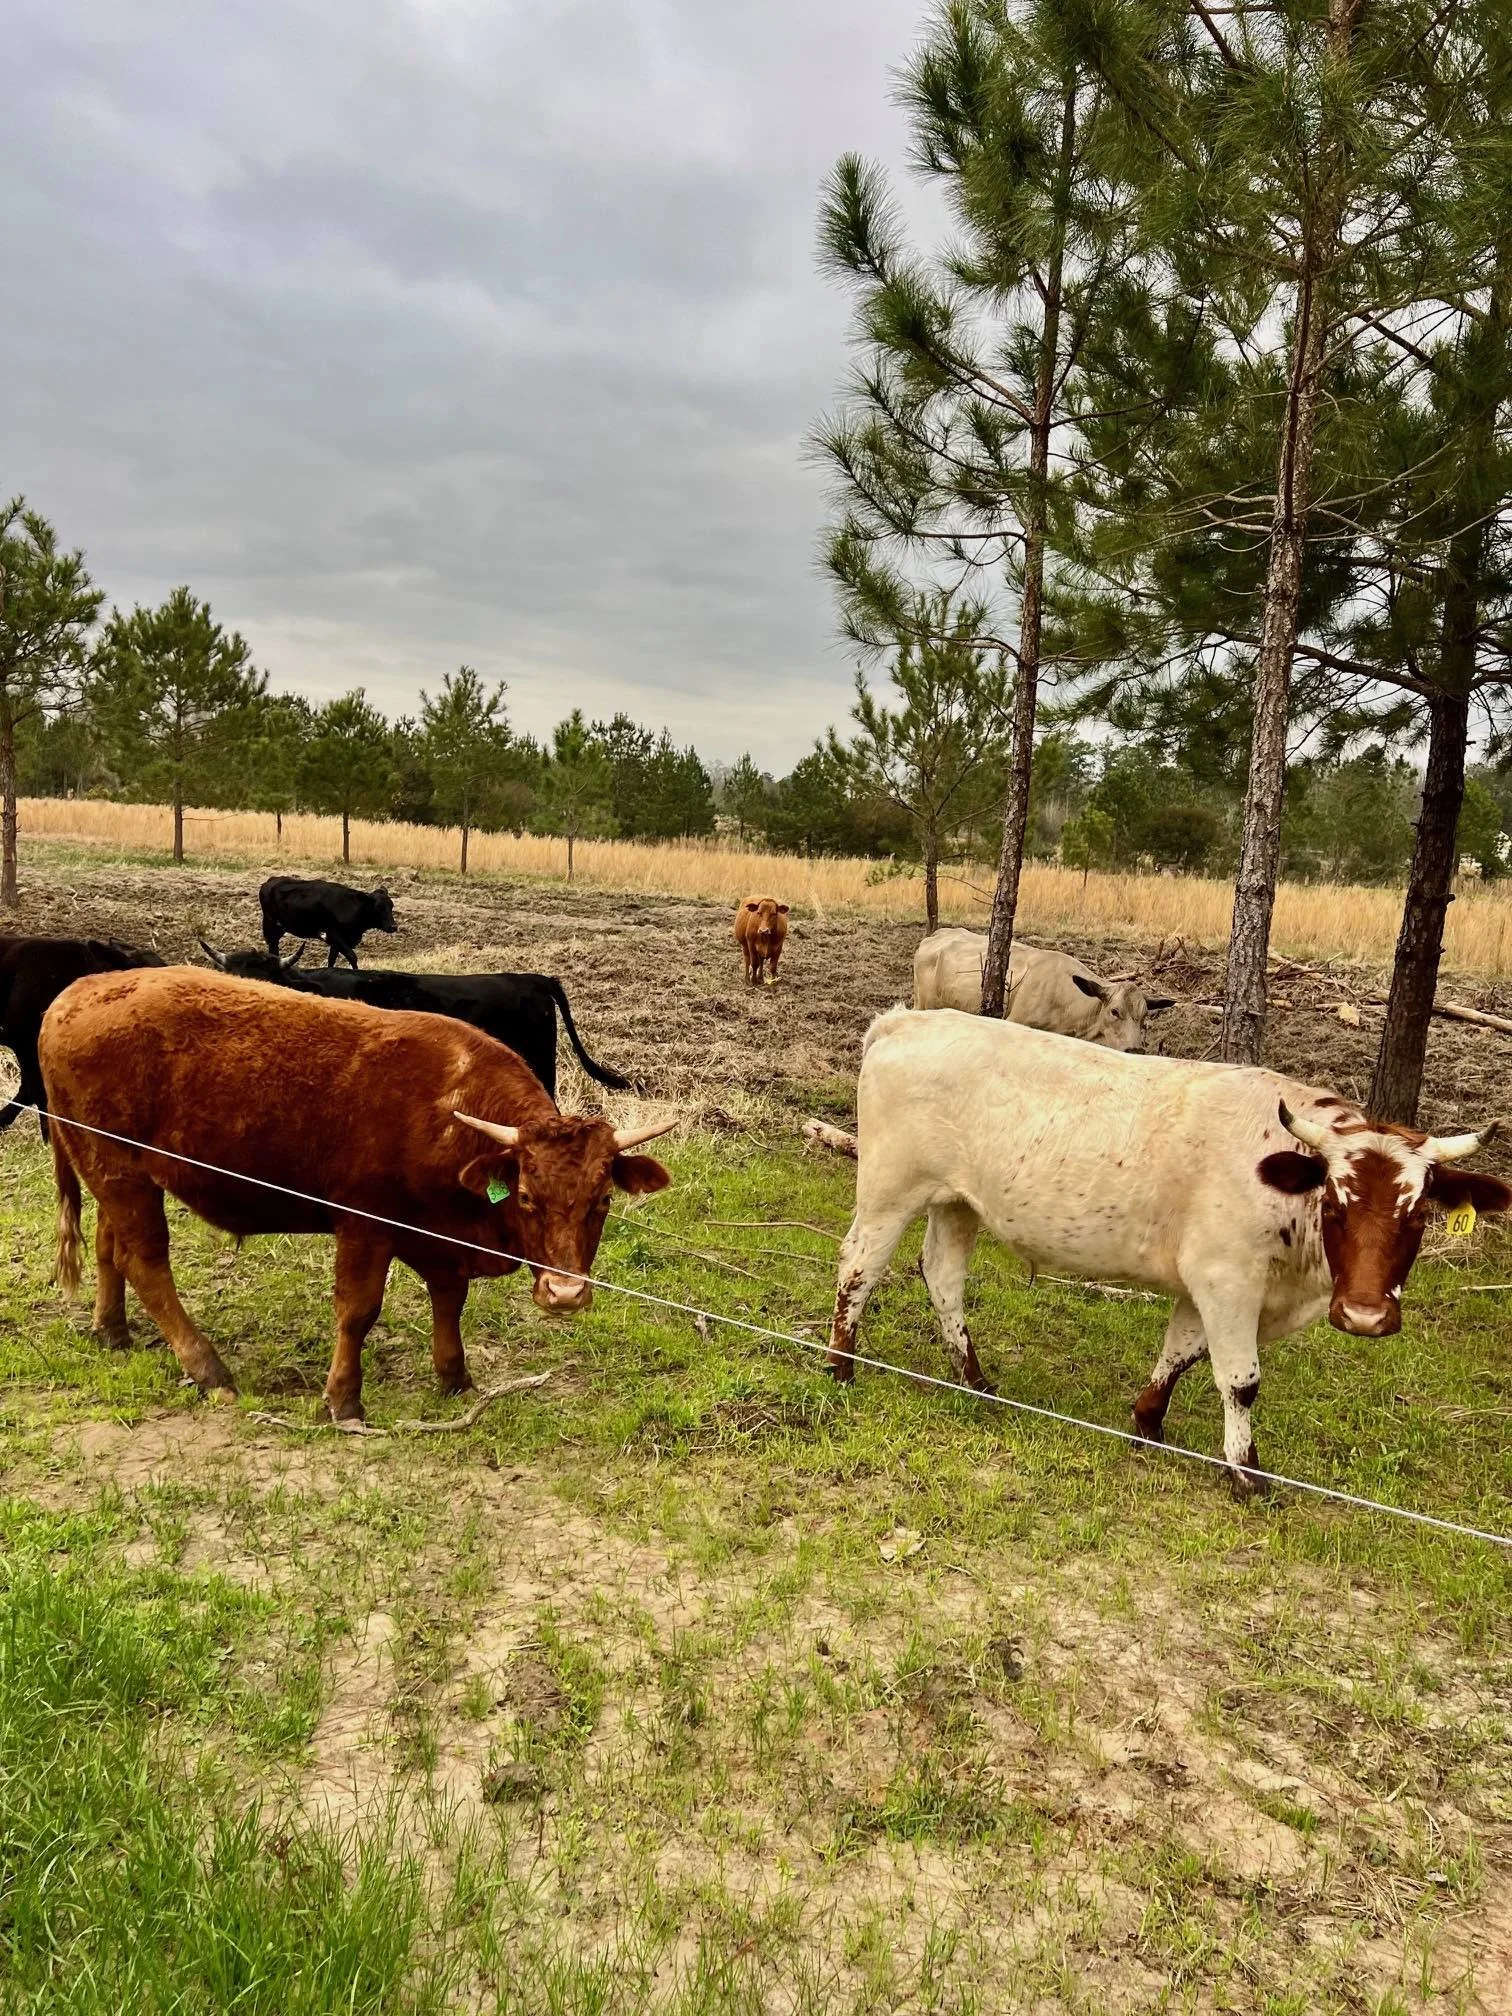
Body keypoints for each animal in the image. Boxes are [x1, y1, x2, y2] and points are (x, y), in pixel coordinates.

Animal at [40, 967, 675, 1421]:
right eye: (524, 1196)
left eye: (602, 1200)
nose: (566, 1294)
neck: (446, 1106)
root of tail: (75, 994)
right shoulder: (365, 1226)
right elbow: (357, 1311)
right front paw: (342, 1399)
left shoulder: (440, 1237)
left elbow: (449, 1300)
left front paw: (455, 1378)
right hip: (119, 1172)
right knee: (147, 1263)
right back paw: (210, 1370)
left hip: (116, 1173)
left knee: (110, 1247)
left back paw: (112, 1331)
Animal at [259, 876, 397, 969]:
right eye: (378, 907)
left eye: (391, 905)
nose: (393, 927)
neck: (353, 908)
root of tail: (271, 881)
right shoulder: (333, 935)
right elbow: (352, 956)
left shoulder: (338, 942)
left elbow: (332, 959)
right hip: (270, 926)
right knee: (273, 949)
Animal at [825, 1007, 1510, 1493]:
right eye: (1336, 1204)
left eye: (1418, 1214)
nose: (1365, 1316)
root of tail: (910, 1018)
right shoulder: (1227, 1278)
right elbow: (1240, 1379)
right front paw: (1248, 1473)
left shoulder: (1207, 1283)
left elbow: (1180, 1350)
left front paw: (1148, 1422)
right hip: (890, 1189)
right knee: (859, 1265)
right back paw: (841, 1364)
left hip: (957, 1202)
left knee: (943, 1277)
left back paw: (975, 1378)